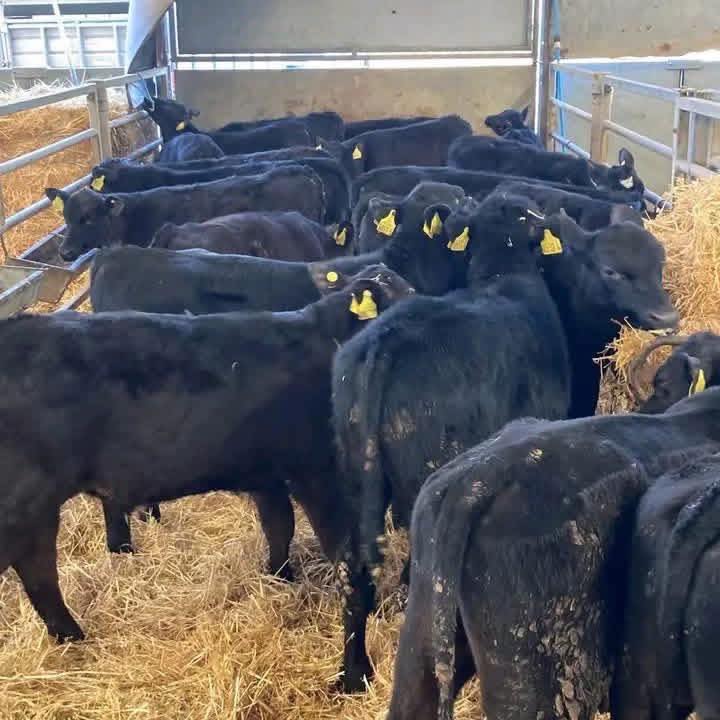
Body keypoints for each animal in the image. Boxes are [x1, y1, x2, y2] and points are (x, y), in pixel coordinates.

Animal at [0, 266, 414, 640]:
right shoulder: (316, 473)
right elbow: (337, 546)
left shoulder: (267, 475)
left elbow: (279, 527)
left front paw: (279, 576)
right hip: (25, 507)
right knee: (36, 568)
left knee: (37, 569)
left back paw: (70, 636)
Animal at [331, 196, 678, 691]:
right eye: (612, 271)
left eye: (660, 265)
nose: (667, 319)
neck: (508, 277)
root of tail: (386, 343)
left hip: (352, 483)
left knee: (352, 572)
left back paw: (354, 673)